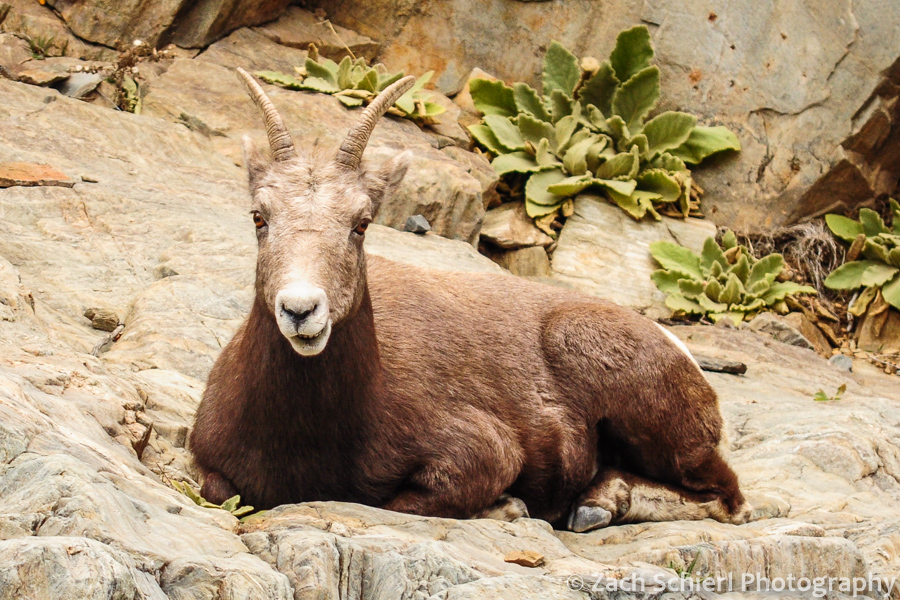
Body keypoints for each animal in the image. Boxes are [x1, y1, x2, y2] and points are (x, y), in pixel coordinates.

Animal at [188, 70, 751, 532]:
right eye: (259, 216)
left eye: (362, 223)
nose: (302, 311)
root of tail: (681, 352)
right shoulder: (211, 470)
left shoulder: (479, 452)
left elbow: (402, 501)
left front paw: (509, 507)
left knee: (729, 499)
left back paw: (598, 506)